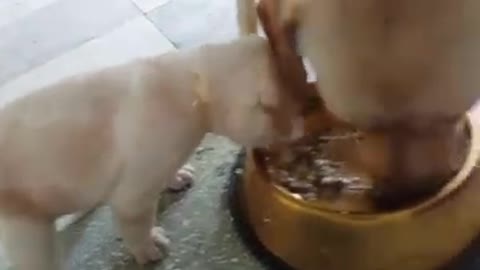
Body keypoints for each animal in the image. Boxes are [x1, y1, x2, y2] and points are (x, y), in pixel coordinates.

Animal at [0, 35, 304, 270]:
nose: (301, 132)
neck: (192, 86)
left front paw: (177, 177)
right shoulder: (134, 194)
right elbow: (138, 225)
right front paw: (149, 248)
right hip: (27, 229)